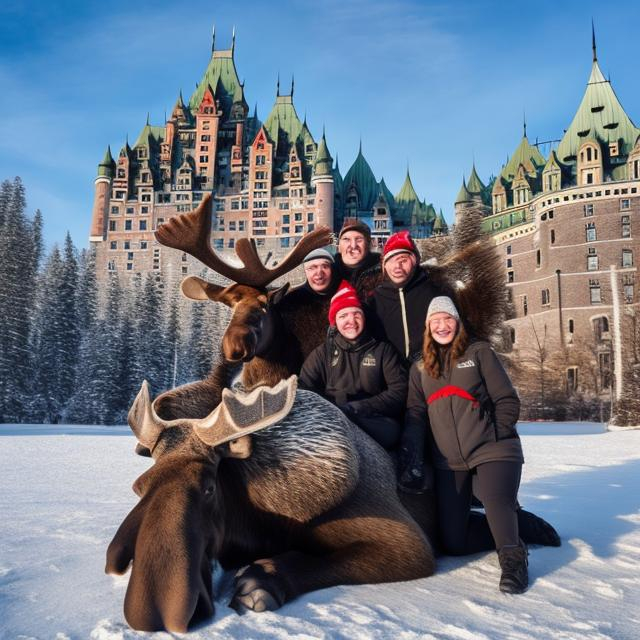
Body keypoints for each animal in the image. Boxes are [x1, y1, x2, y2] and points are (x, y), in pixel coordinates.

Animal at [107, 378, 436, 632]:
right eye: (139, 485)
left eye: (209, 487)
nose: (153, 612)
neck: (255, 520)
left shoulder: (410, 543)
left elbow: (320, 561)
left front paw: (258, 584)